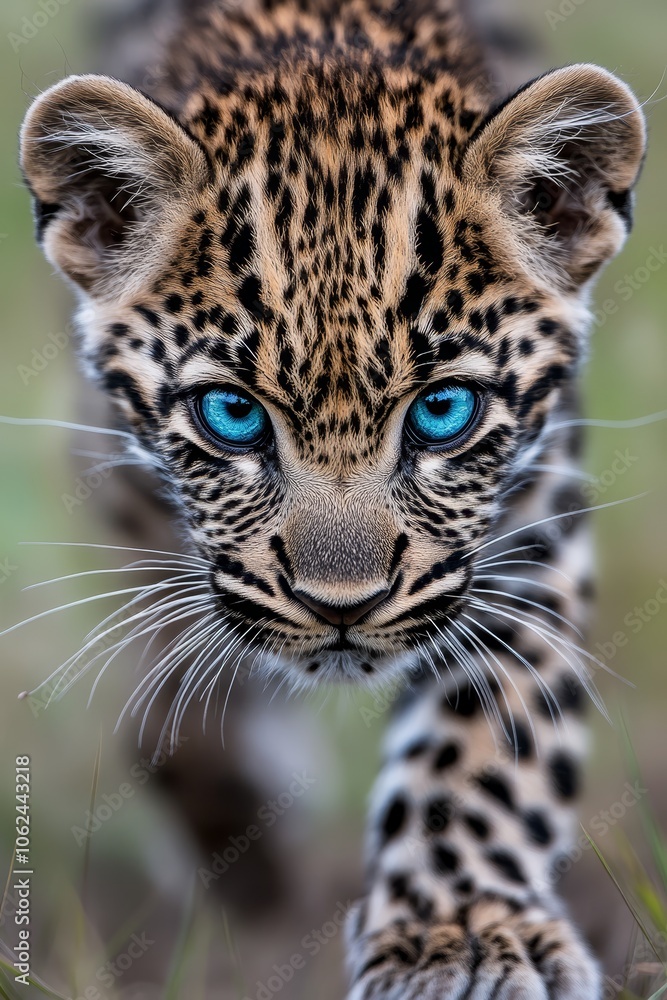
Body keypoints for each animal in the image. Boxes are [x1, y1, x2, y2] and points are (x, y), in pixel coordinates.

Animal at [19, 0, 646, 996]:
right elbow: (172, 703)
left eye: (443, 411)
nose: (340, 607)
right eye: (232, 414)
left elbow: (485, 733)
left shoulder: (527, 522)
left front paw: (459, 930)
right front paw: (245, 862)